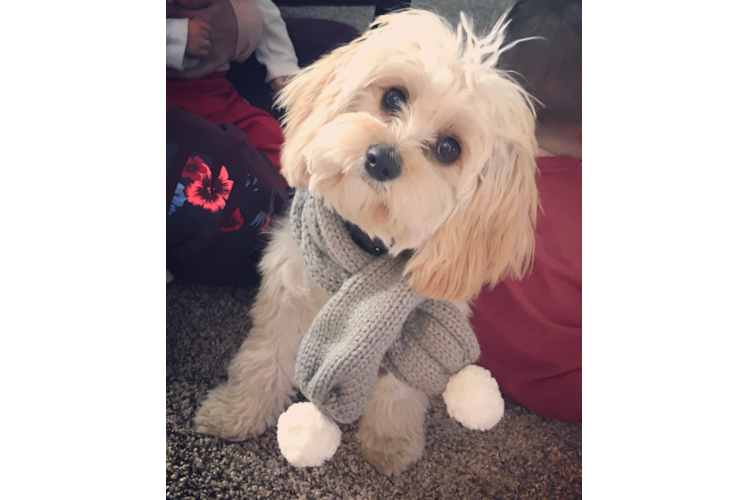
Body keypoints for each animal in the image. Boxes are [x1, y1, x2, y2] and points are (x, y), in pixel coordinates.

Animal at [196, 9, 540, 474]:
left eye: (450, 149)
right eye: (393, 97)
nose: (382, 158)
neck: (362, 251)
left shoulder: (411, 325)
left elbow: (400, 389)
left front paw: (391, 441)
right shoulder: (285, 293)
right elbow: (263, 359)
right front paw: (237, 413)